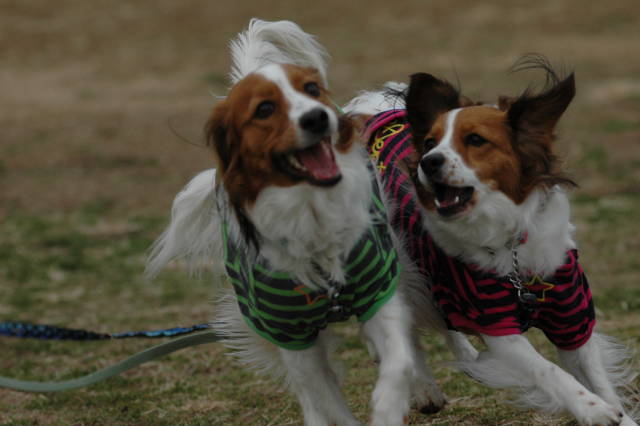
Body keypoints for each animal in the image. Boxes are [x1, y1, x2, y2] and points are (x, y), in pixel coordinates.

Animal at [145, 20, 444, 426]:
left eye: (312, 89)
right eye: (265, 109)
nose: (317, 117)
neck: (310, 214)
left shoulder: (378, 290)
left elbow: (398, 359)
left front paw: (390, 405)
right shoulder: (290, 336)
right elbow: (324, 398)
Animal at [348, 58, 636, 424]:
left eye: (475, 140)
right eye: (429, 143)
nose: (429, 161)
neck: (511, 248)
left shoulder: (572, 313)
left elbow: (597, 377)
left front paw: (620, 415)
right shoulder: (497, 324)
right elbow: (550, 372)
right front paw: (593, 410)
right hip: (402, 269)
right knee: (404, 331)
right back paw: (425, 388)